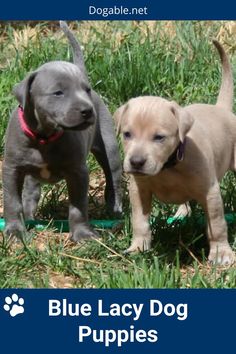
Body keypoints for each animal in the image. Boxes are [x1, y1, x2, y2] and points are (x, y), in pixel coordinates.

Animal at [115, 40, 236, 264]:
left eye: (159, 137)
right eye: (127, 134)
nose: (136, 162)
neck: (168, 166)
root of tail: (221, 109)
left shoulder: (210, 192)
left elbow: (216, 224)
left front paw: (221, 252)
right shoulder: (138, 190)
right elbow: (140, 221)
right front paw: (138, 247)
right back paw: (181, 214)